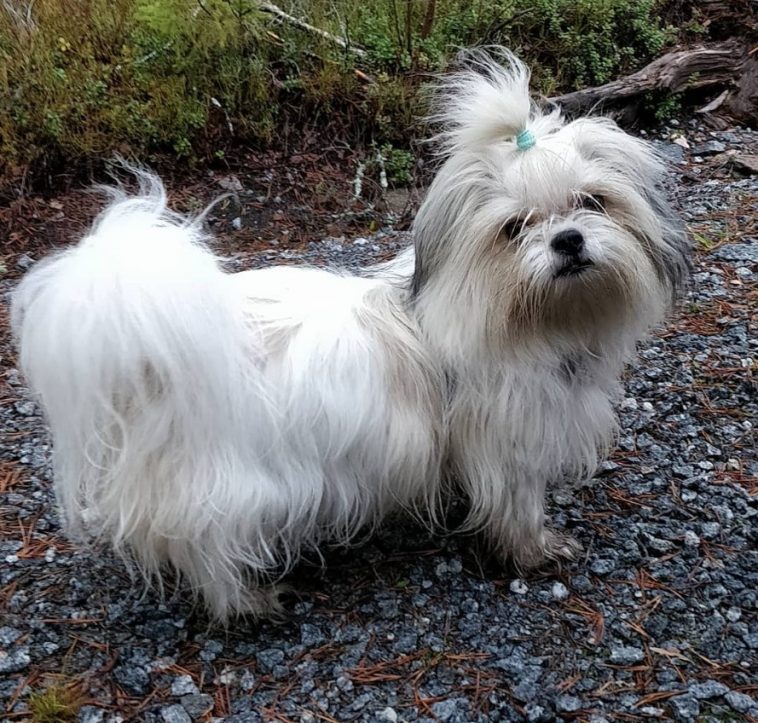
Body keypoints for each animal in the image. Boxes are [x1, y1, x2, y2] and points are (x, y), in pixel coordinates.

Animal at [11, 51, 692, 620]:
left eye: (593, 202)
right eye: (514, 227)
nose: (568, 240)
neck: (520, 313)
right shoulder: (509, 447)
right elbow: (517, 510)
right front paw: (536, 549)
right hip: (235, 489)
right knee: (206, 549)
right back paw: (250, 602)